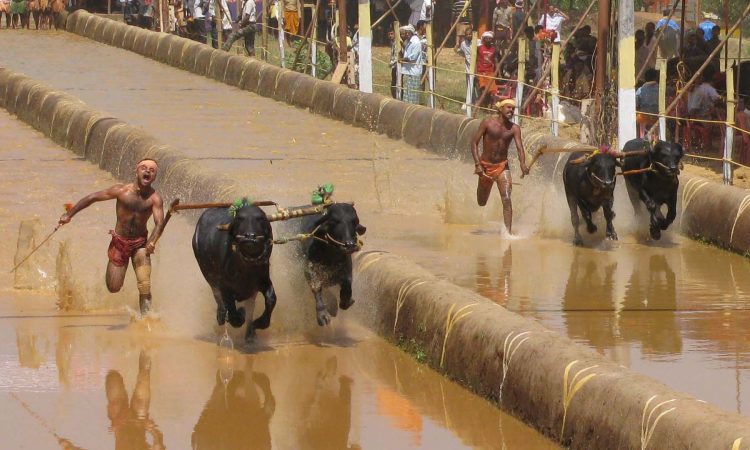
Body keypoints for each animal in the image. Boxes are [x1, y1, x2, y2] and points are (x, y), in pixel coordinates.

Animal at [192, 203, 276, 341]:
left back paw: (250, 334)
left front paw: (258, 323)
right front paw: (240, 314)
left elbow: (271, 299)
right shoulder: (225, 287)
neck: (245, 266)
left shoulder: (263, 281)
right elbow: (233, 314)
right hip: (207, 273)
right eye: (240, 219)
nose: (250, 236)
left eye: (260, 219)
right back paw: (221, 316)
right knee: (217, 295)